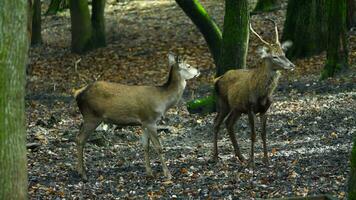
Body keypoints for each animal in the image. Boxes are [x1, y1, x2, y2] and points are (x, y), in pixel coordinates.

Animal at [214, 20, 294, 167]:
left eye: (284, 54)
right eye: (274, 56)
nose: (291, 65)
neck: (262, 94)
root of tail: (217, 79)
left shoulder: (265, 109)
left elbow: (263, 134)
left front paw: (266, 160)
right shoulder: (250, 107)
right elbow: (253, 135)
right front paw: (252, 161)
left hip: (237, 108)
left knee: (229, 123)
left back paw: (241, 157)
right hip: (223, 103)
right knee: (216, 123)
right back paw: (216, 156)